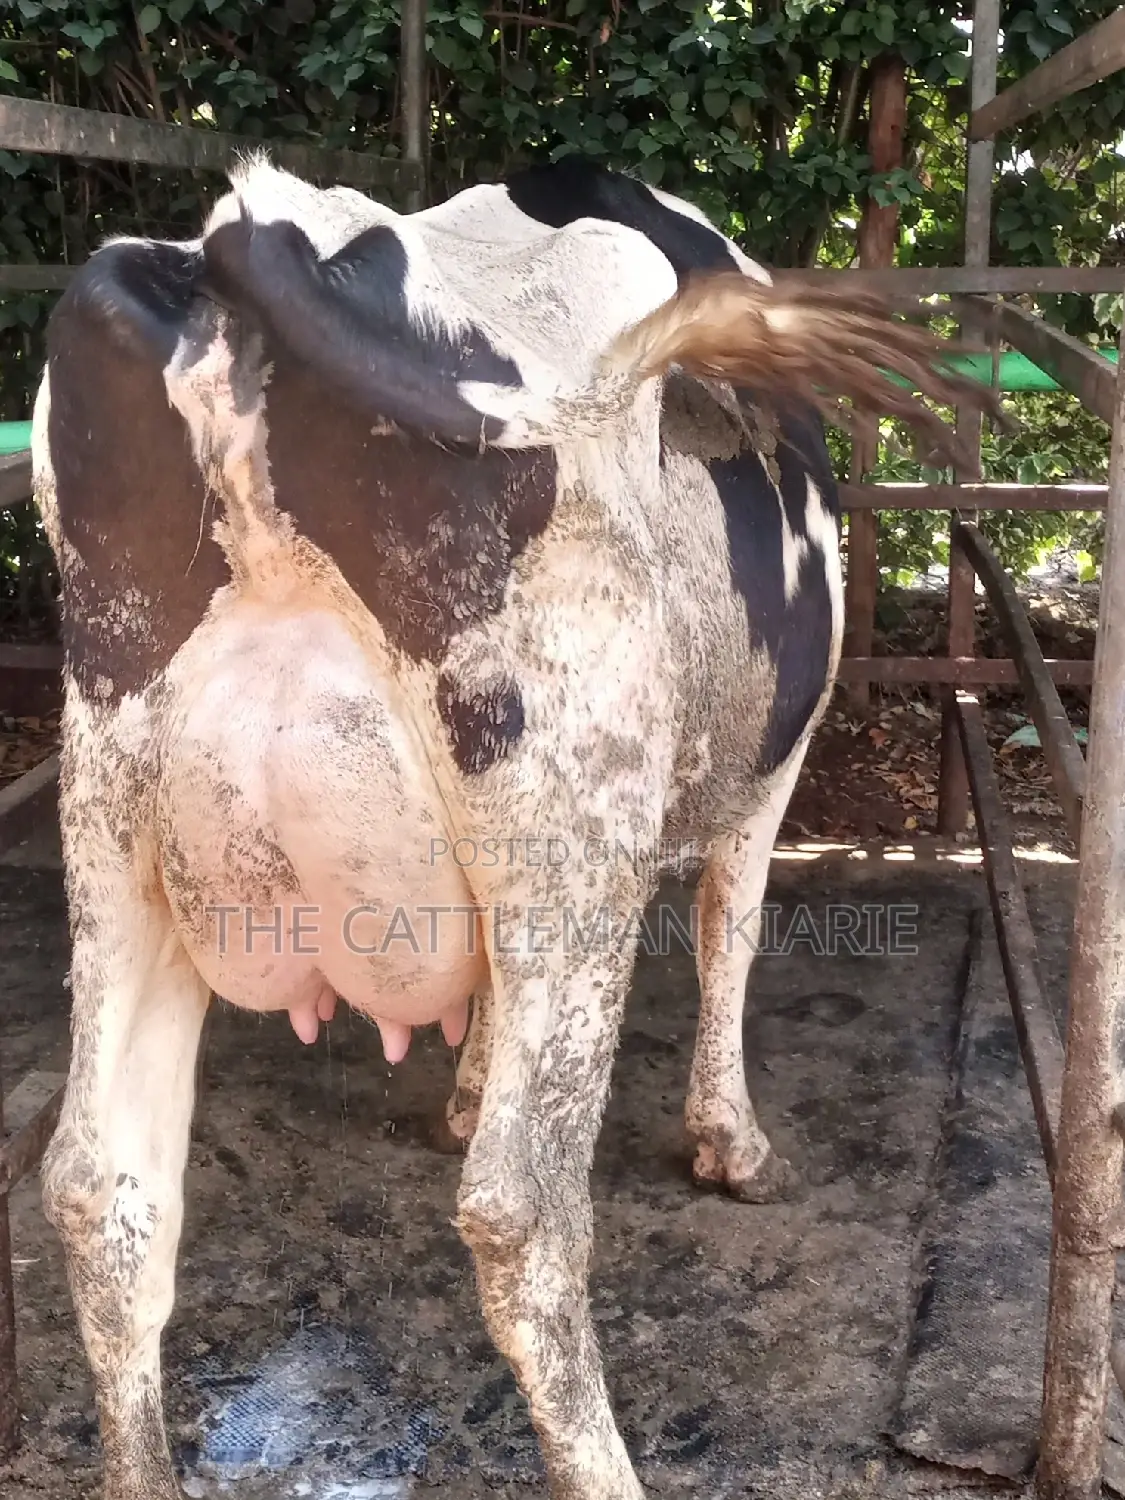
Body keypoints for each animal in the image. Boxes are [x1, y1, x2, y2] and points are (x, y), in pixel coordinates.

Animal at [32, 154, 985, 1500]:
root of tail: (252, 233)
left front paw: (469, 1081)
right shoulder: (769, 769)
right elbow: (733, 929)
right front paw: (731, 1142)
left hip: (113, 815)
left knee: (97, 1184)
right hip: (571, 822)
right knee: (521, 1209)